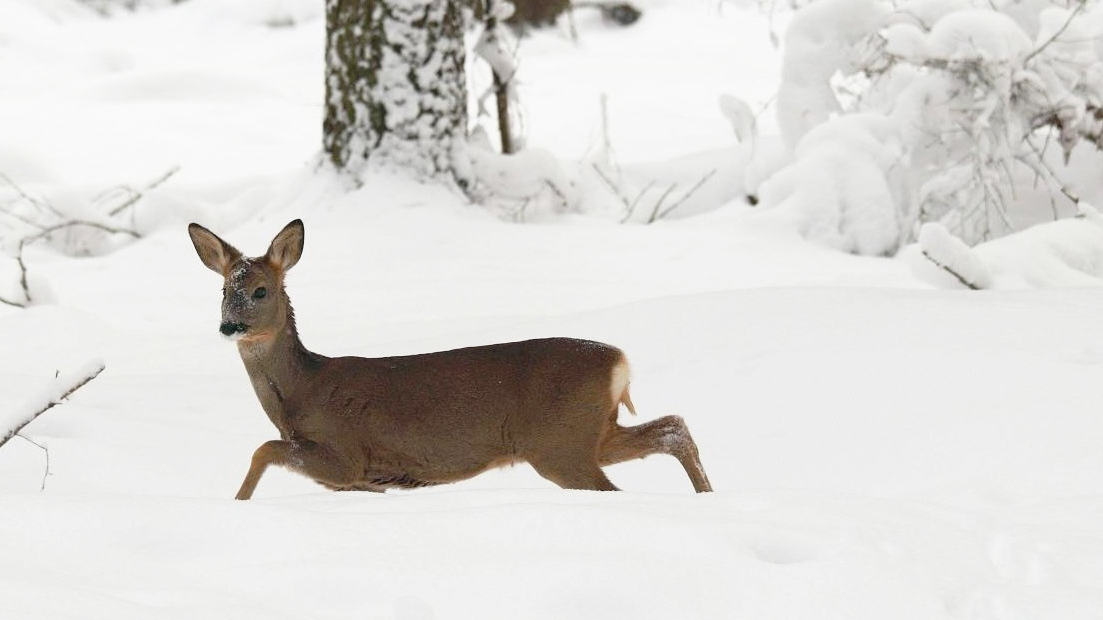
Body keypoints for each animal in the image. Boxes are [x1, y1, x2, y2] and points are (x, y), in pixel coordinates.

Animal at [188, 219, 713, 499]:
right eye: (223, 291)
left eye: (260, 290)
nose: (229, 326)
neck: (301, 393)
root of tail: (618, 361)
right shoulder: (352, 474)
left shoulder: (343, 454)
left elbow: (263, 449)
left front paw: (237, 503)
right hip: (586, 433)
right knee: (673, 426)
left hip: (559, 444)